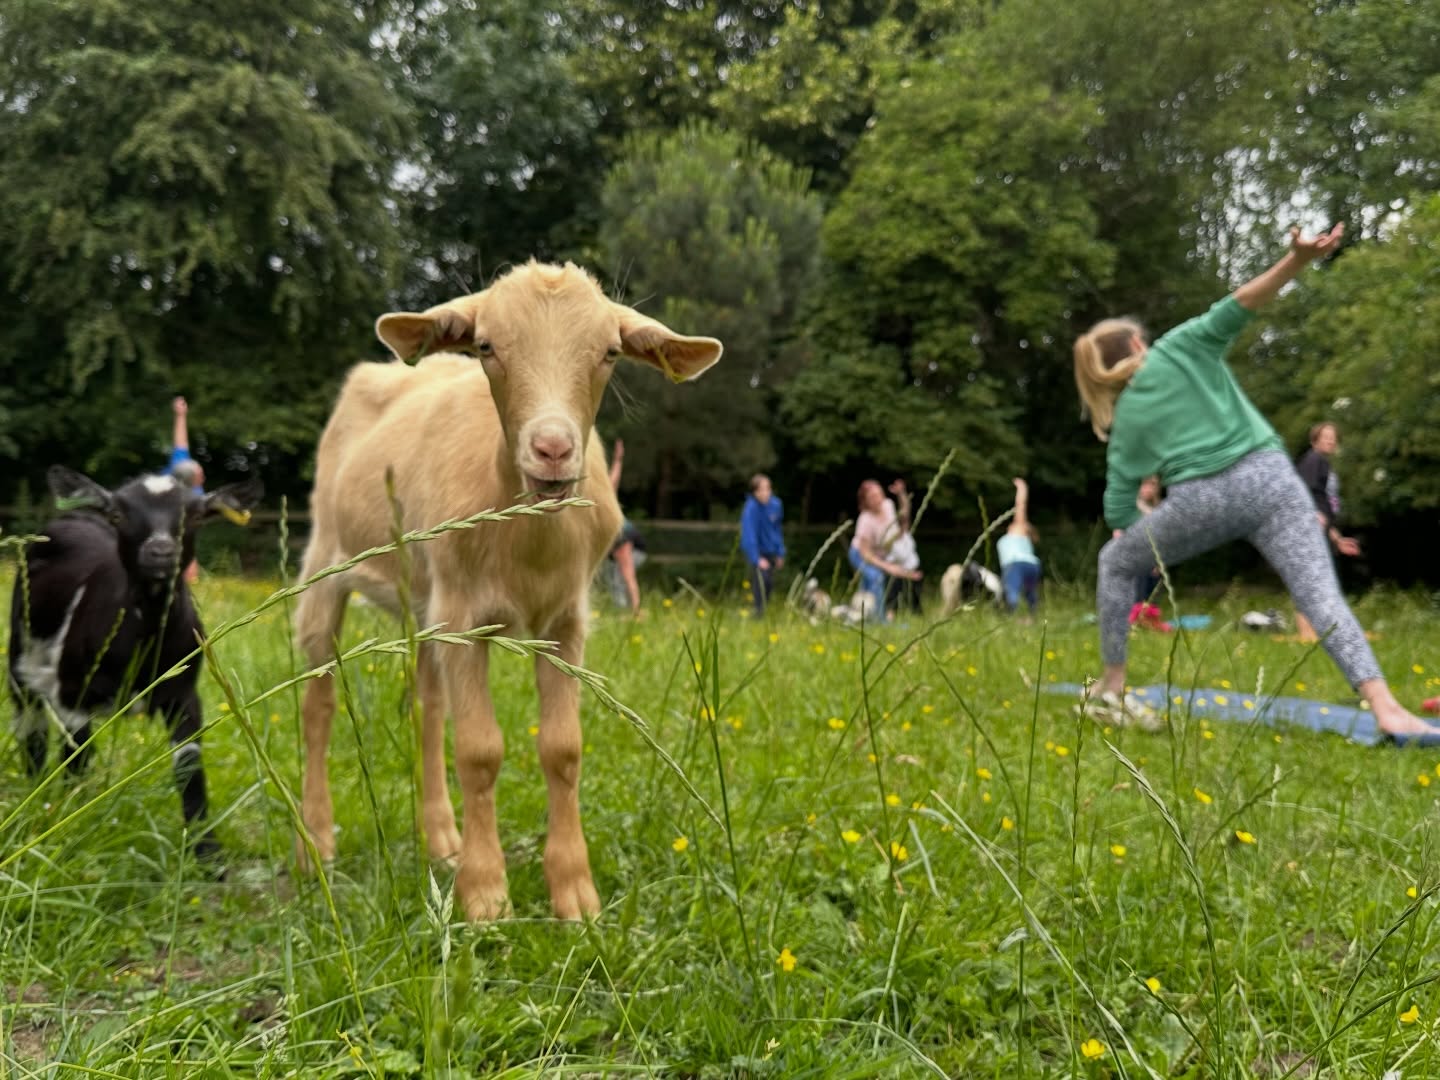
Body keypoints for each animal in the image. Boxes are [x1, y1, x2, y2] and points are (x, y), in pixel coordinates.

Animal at [7, 467, 262, 858]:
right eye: (118, 515)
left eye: (196, 515)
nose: (160, 551)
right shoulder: (72, 693)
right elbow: (77, 757)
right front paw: (70, 819)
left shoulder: (183, 695)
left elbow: (188, 764)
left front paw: (206, 851)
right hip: (21, 663)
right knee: (32, 730)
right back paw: (36, 793)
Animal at [292, 261, 722, 921]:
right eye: (487, 347)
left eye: (610, 352)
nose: (553, 449)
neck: (528, 542)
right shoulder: (464, 613)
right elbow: (479, 750)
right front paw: (486, 896)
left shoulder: (566, 621)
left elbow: (563, 748)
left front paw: (574, 895)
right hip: (327, 560)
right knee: (318, 703)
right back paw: (317, 842)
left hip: (425, 602)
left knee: (426, 704)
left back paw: (441, 838)